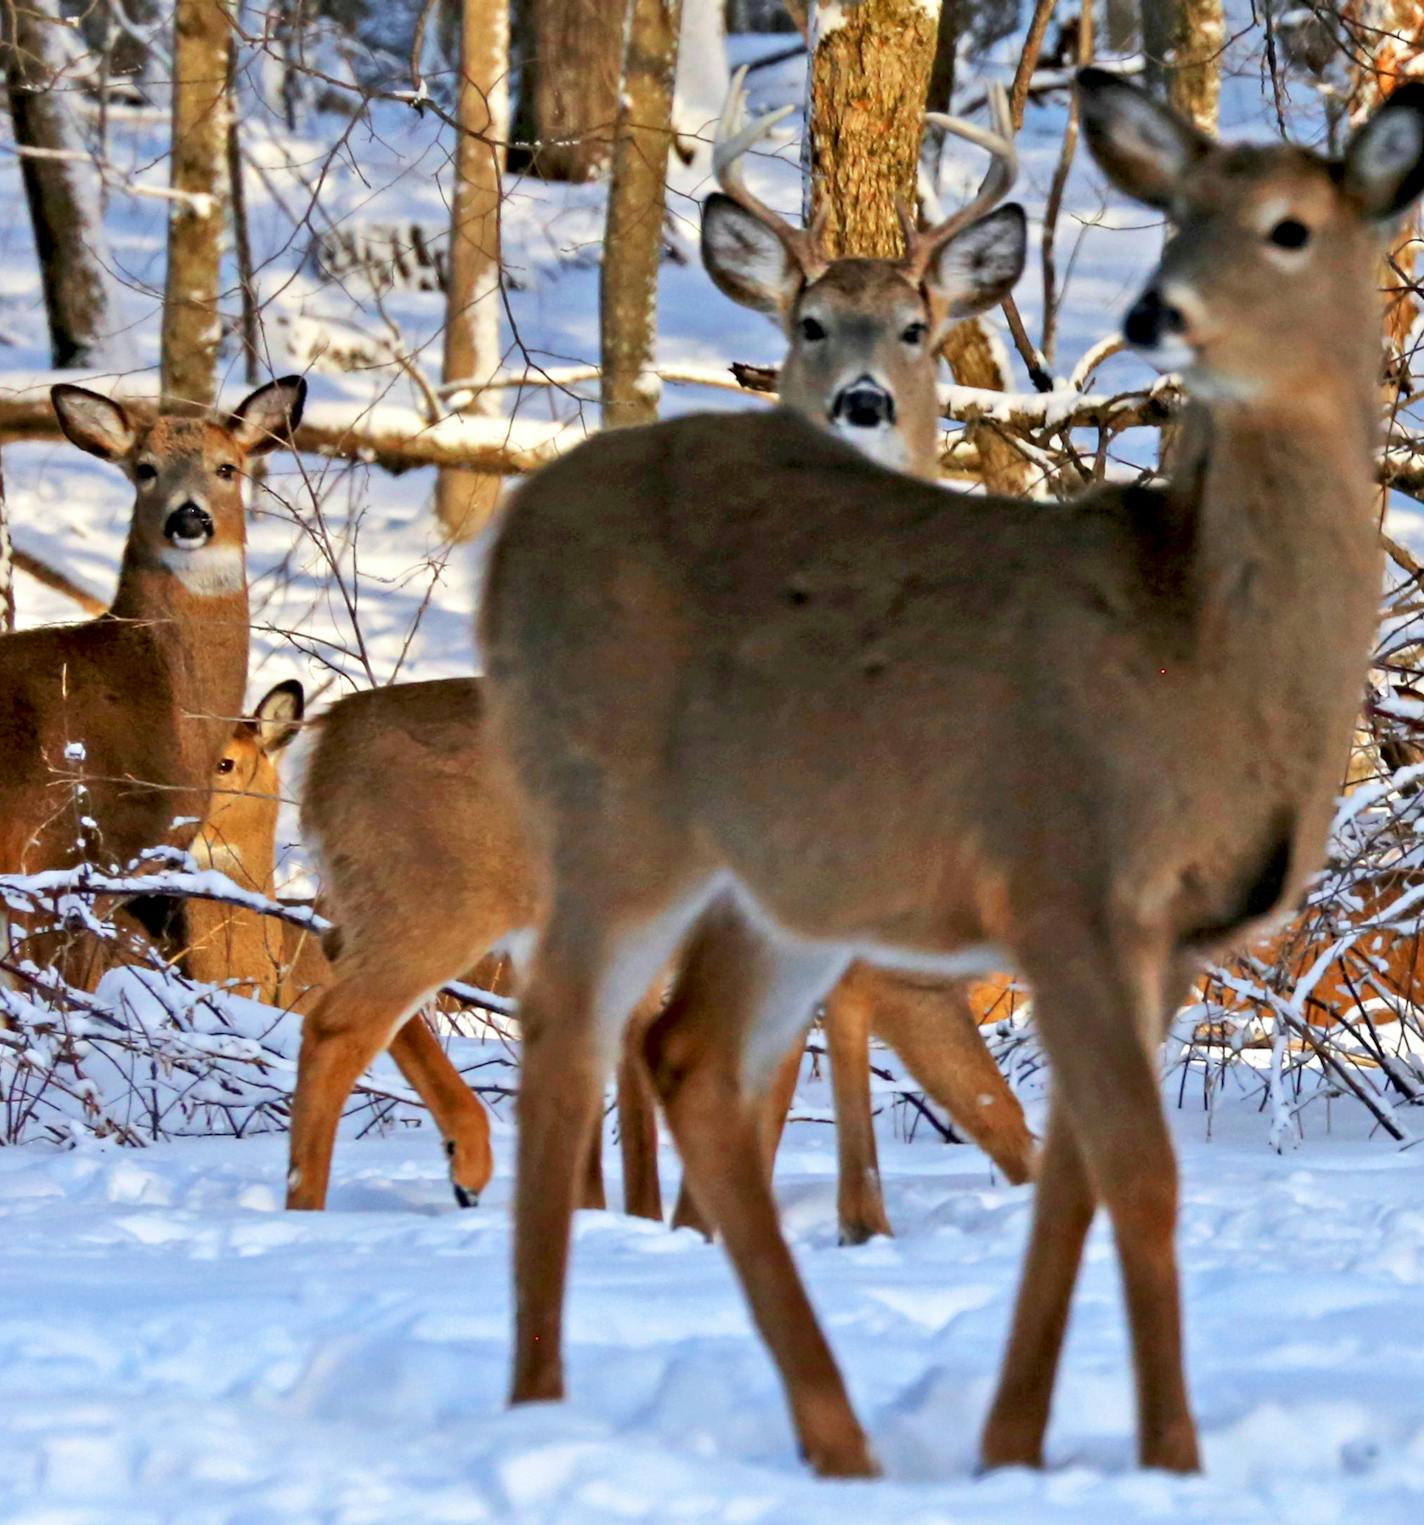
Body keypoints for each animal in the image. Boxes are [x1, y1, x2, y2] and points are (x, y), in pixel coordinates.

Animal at [283, 77, 1036, 1220]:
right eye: (808, 324)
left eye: (916, 327)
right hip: (430, 898)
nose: (861, 400)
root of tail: (322, 743)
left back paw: (468, 1162)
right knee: (331, 1022)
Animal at [478, 74, 1424, 1476]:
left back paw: (838, 1441)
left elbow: (1068, 1173)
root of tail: (507, 533)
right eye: (1177, 214)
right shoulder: (1062, 875)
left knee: (689, 1057)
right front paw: (1169, 1456)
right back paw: (541, 1402)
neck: (1202, 651)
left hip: (788, 878)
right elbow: (1137, 1172)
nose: (1154, 314)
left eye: (1289, 226)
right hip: (613, 808)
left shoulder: (1168, 934)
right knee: (565, 1038)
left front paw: (1009, 1446)